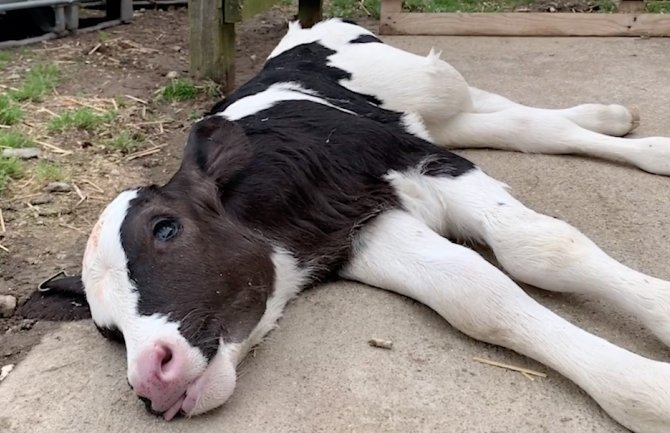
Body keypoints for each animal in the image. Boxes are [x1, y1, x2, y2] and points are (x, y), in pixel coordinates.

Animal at [38, 17, 670, 432]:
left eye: (165, 229)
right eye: (107, 331)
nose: (150, 377)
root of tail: (303, 31)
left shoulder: (407, 157)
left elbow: (541, 247)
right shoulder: (365, 232)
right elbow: (475, 295)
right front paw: (645, 386)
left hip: (422, 79)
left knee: (505, 113)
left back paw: (631, 133)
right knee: (506, 122)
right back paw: (612, 118)